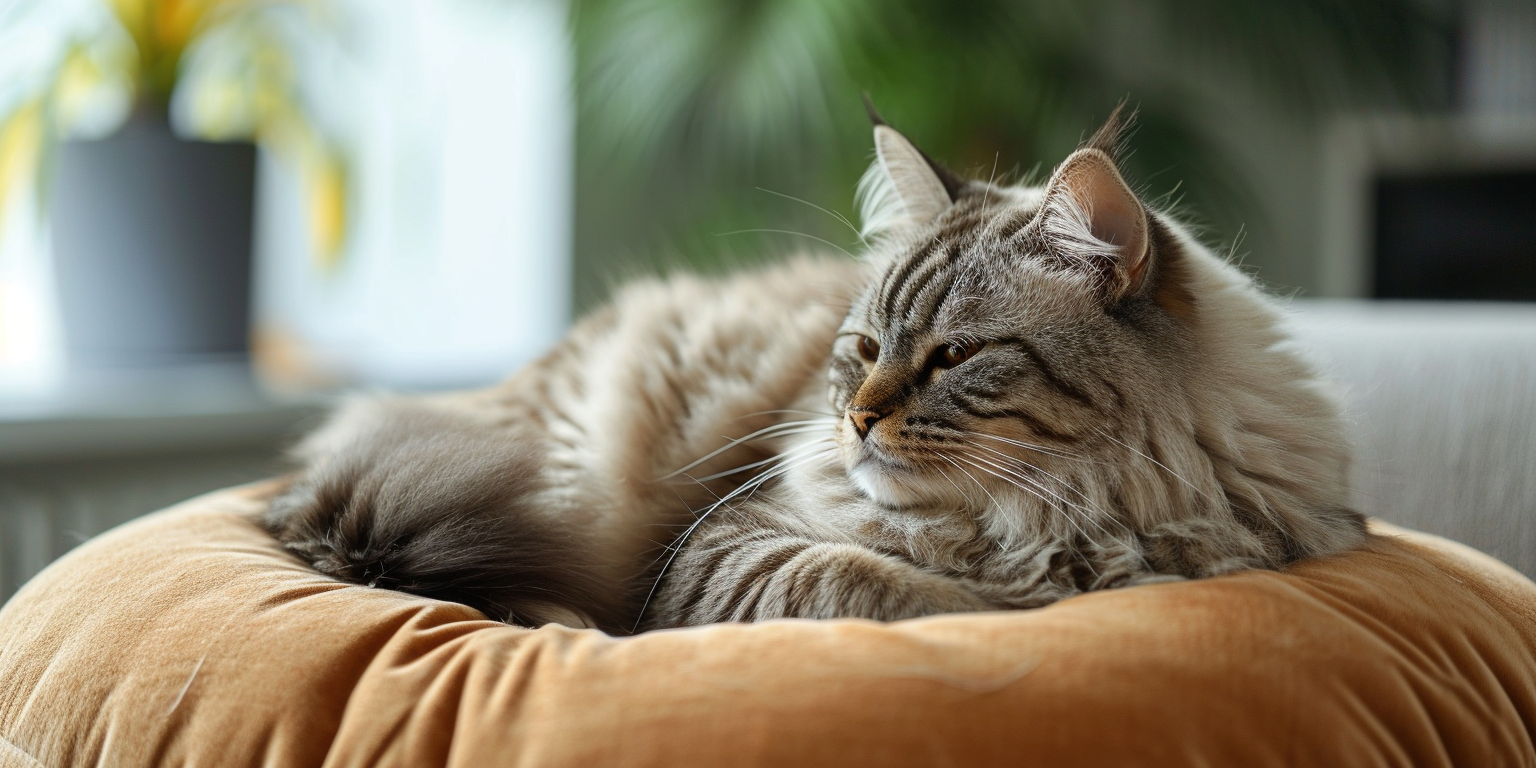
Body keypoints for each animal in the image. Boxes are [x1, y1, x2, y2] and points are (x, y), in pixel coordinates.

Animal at [267, 109, 1370, 635]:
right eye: (866, 351)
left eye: (955, 356)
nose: (859, 421)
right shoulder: (730, 546)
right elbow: (868, 582)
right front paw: (990, 608)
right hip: (578, 475)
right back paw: (566, 618)